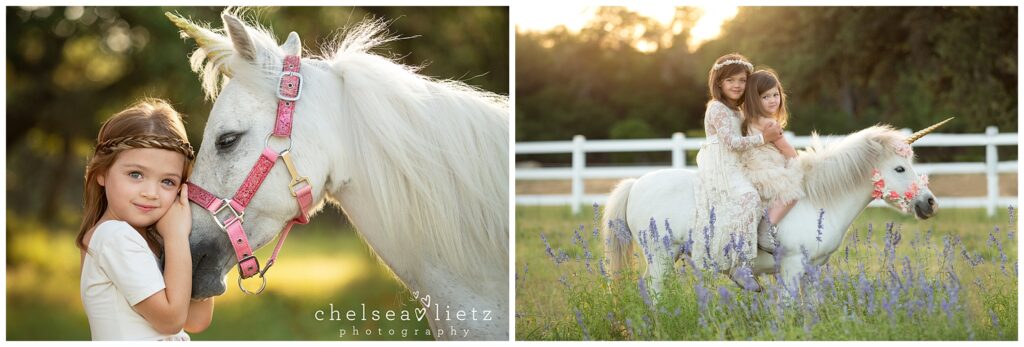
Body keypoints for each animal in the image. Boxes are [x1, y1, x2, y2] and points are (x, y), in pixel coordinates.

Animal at [598, 123, 942, 296]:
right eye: (899, 168)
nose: (929, 203)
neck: (818, 197)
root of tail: (636, 184)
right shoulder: (791, 267)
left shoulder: (813, 269)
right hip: (660, 257)